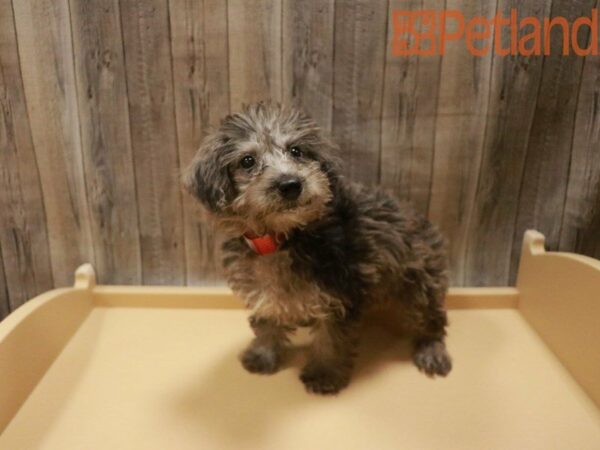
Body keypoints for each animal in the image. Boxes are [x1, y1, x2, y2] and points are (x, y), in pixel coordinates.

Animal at [183, 102, 450, 394]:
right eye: (247, 161)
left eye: (296, 151)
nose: (290, 184)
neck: (282, 238)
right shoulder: (263, 287)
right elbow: (267, 320)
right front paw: (263, 355)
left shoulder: (339, 293)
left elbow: (331, 340)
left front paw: (324, 374)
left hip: (419, 281)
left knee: (431, 319)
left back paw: (432, 351)